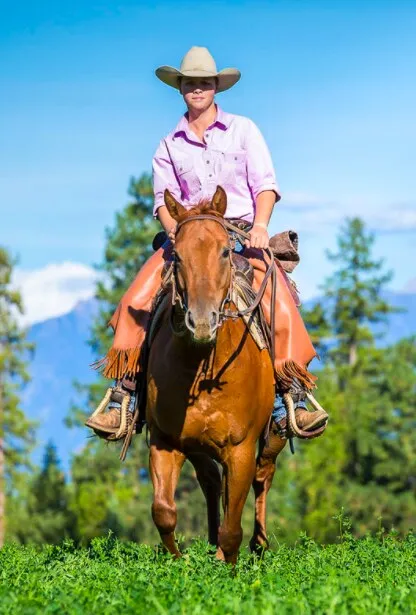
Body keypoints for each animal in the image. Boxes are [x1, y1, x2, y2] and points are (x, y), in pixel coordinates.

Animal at [146, 186, 287, 564]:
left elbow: (232, 529)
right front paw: (179, 562)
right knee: (211, 480)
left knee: (263, 475)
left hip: (271, 436)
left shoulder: (241, 449)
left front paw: (229, 565)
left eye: (225, 251)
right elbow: (164, 512)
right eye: (178, 256)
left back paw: (259, 543)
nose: (201, 321)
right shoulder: (165, 440)